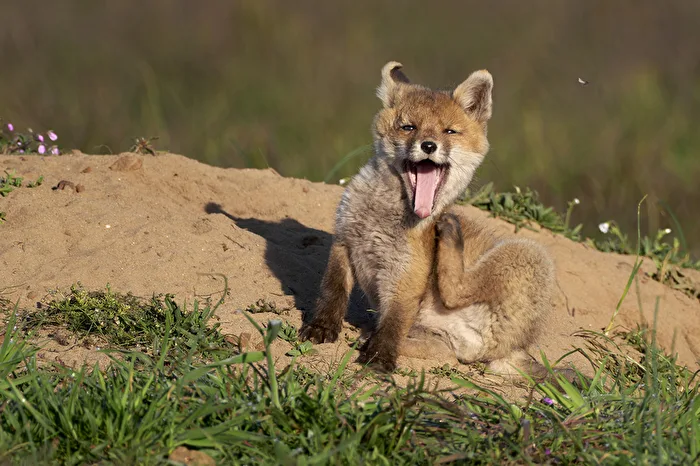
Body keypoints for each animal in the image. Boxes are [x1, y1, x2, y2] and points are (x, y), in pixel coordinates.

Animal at [300, 61, 566, 380]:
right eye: (408, 127)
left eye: (449, 131)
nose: (428, 146)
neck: (380, 219)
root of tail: (513, 352)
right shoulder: (344, 242)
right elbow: (333, 291)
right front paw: (322, 327)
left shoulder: (409, 273)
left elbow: (393, 322)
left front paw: (380, 357)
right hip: (442, 340)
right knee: (441, 351)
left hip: (527, 253)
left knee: (454, 291)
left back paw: (451, 233)